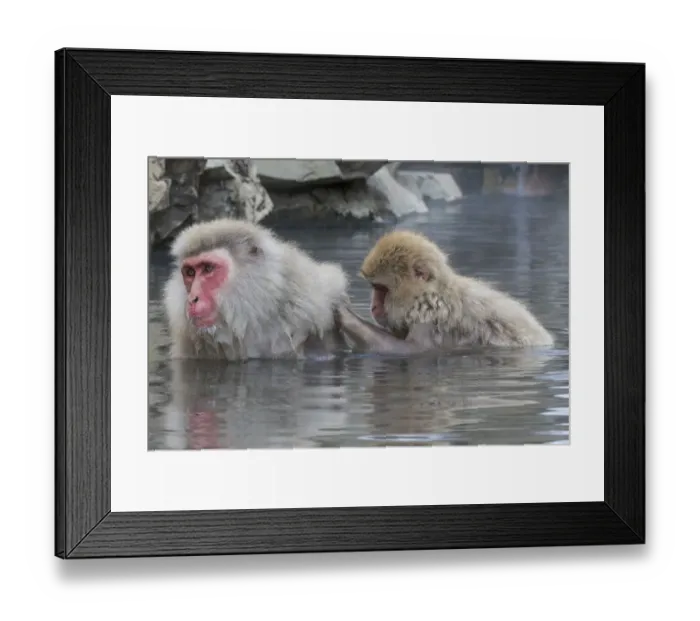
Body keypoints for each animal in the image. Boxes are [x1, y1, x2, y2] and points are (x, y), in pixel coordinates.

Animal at [335, 229, 555, 354]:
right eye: (374, 288)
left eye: (381, 289)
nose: (373, 307)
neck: (429, 294)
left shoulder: (430, 317)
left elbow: (412, 351)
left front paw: (346, 315)